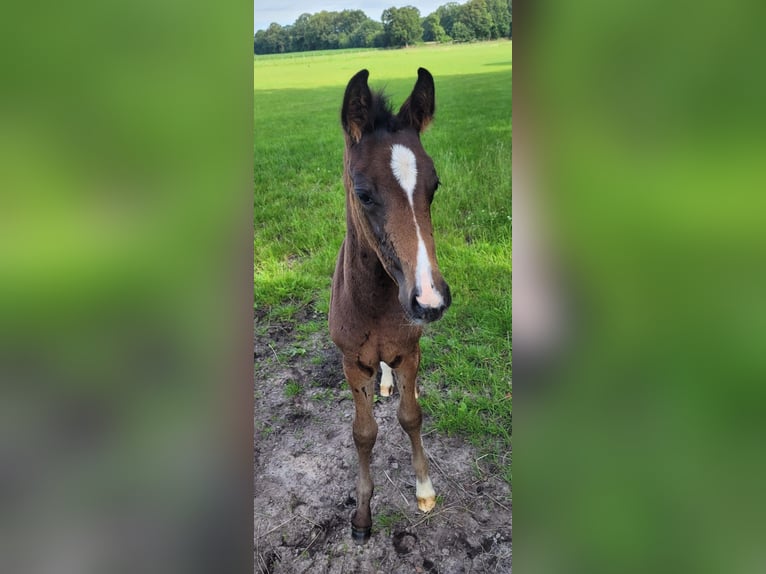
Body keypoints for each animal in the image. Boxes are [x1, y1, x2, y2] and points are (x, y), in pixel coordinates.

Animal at [328, 68, 450, 544]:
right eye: (363, 193)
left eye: (434, 186)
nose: (429, 300)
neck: (380, 303)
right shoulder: (352, 362)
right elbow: (363, 433)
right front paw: (361, 516)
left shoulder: (409, 352)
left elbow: (411, 415)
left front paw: (425, 491)